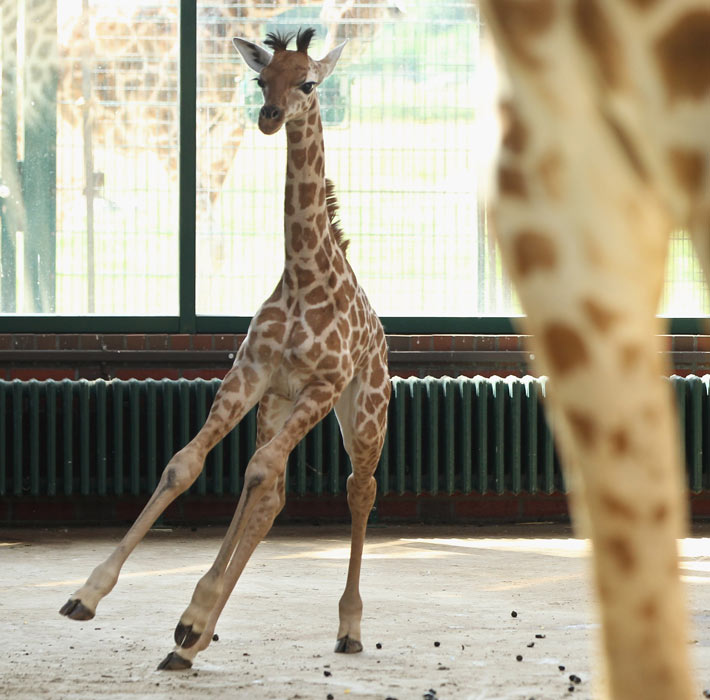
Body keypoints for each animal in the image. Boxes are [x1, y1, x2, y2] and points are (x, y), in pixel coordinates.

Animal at [59, 28, 394, 672]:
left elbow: (255, 471)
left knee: (356, 490)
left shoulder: (321, 385)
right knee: (271, 491)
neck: (303, 275)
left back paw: (349, 627)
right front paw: (89, 593)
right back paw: (193, 638)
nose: (268, 117)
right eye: (262, 79)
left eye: (307, 82)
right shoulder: (251, 374)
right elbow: (187, 464)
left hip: (363, 413)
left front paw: (194, 612)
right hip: (277, 407)